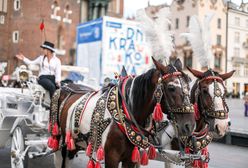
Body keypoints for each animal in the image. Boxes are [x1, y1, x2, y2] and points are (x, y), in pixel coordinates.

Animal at [48, 57, 196, 168]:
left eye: (189, 85)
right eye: (171, 87)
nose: (189, 125)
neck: (125, 113)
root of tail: (66, 86)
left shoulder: (130, 159)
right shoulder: (111, 157)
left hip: (73, 145)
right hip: (60, 144)